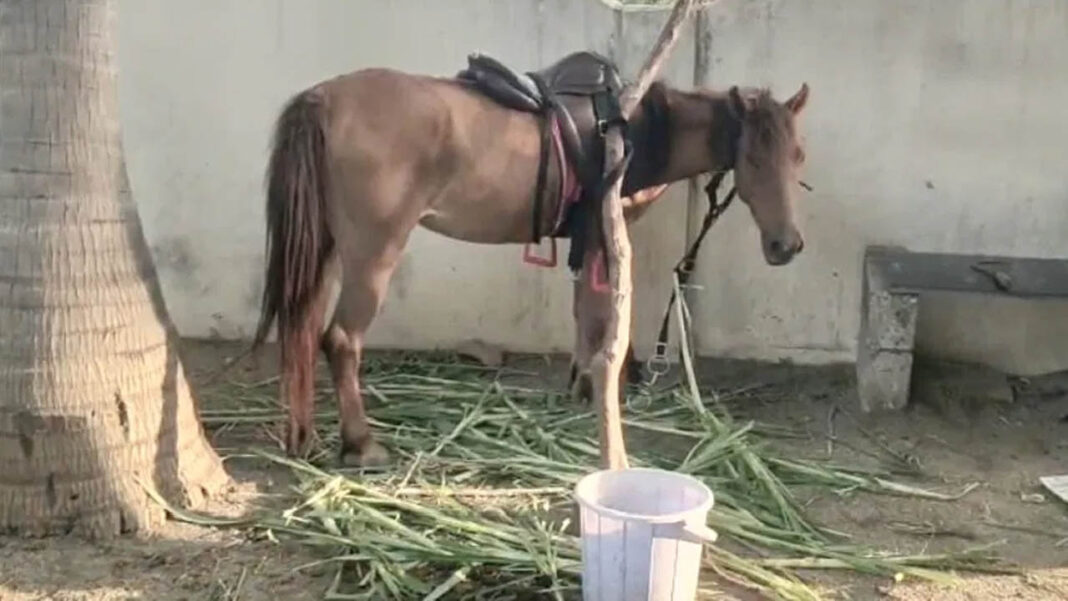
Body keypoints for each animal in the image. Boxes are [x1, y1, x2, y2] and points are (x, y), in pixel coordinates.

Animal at [252, 52, 811, 467]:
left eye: (798, 154)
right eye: (752, 157)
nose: (787, 245)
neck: (637, 129)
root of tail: (324, 98)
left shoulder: (589, 238)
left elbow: (584, 314)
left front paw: (581, 384)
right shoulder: (609, 233)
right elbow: (603, 320)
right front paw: (599, 387)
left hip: (325, 248)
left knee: (303, 331)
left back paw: (302, 435)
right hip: (374, 252)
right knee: (342, 340)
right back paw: (362, 444)